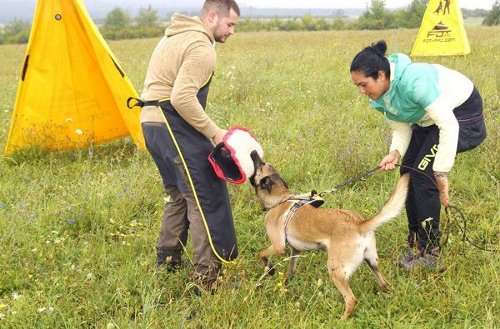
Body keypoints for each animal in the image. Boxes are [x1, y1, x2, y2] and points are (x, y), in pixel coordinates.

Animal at [248, 151, 408, 318]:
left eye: (260, 165)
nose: (253, 152)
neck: (281, 199)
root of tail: (358, 224)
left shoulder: (278, 247)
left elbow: (261, 254)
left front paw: (270, 270)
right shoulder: (294, 250)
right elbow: (290, 270)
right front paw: (284, 283)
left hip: (335, 270)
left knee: (351, 300)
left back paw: (341, 319)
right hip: (372, 262)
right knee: (384, 284)